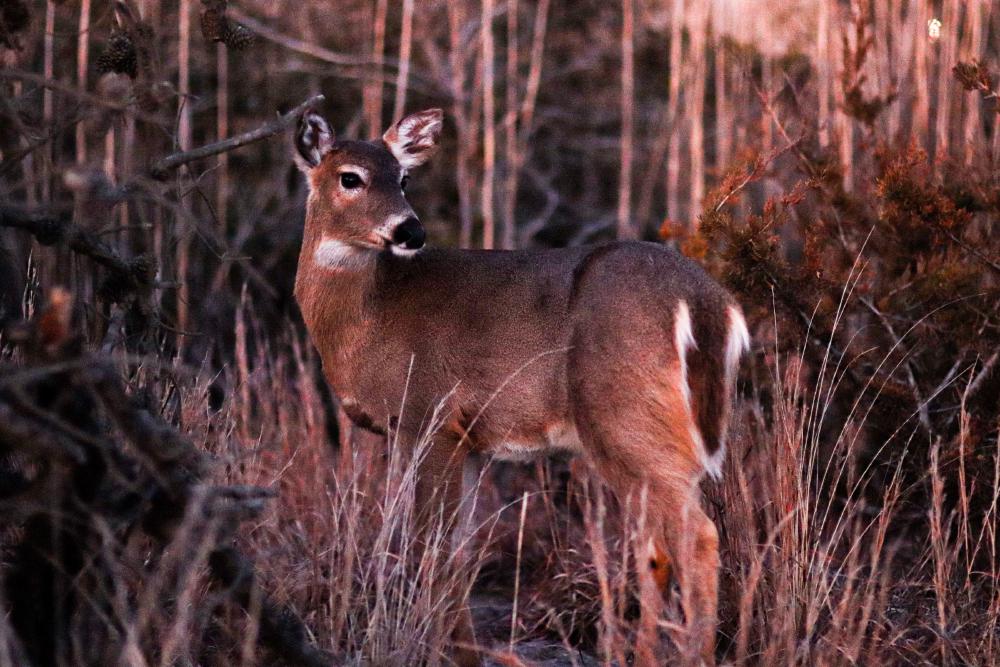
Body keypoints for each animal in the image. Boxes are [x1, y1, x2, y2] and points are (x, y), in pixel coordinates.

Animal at [292, 107, 750, 666]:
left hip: (627, 421)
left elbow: (429, 548)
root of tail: (706, 304)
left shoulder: (428, 415)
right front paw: (463, 652)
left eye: (403, 178)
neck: (366, 320)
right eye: (350, 178)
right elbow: (459, 553)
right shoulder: (468, 442)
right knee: (656, 548)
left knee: (694, 538)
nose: (411, 230)